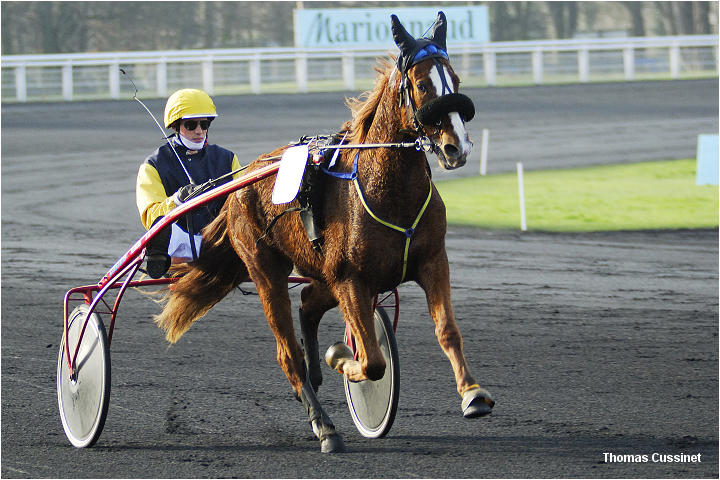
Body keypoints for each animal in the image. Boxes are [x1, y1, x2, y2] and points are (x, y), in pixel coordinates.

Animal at [156, 12, 496, 454]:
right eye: (422, 84)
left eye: (455, 78)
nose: (458, 147)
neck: (388, 190)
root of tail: (241, 179)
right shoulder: (351, 280)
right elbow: (372, 360)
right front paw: (339, 358)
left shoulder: (432, 261)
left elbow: (448, 331)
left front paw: (472, 393)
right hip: (266, 270)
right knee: (288, 352)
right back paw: (324, 425)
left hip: (320, 272)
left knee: (307, 304)